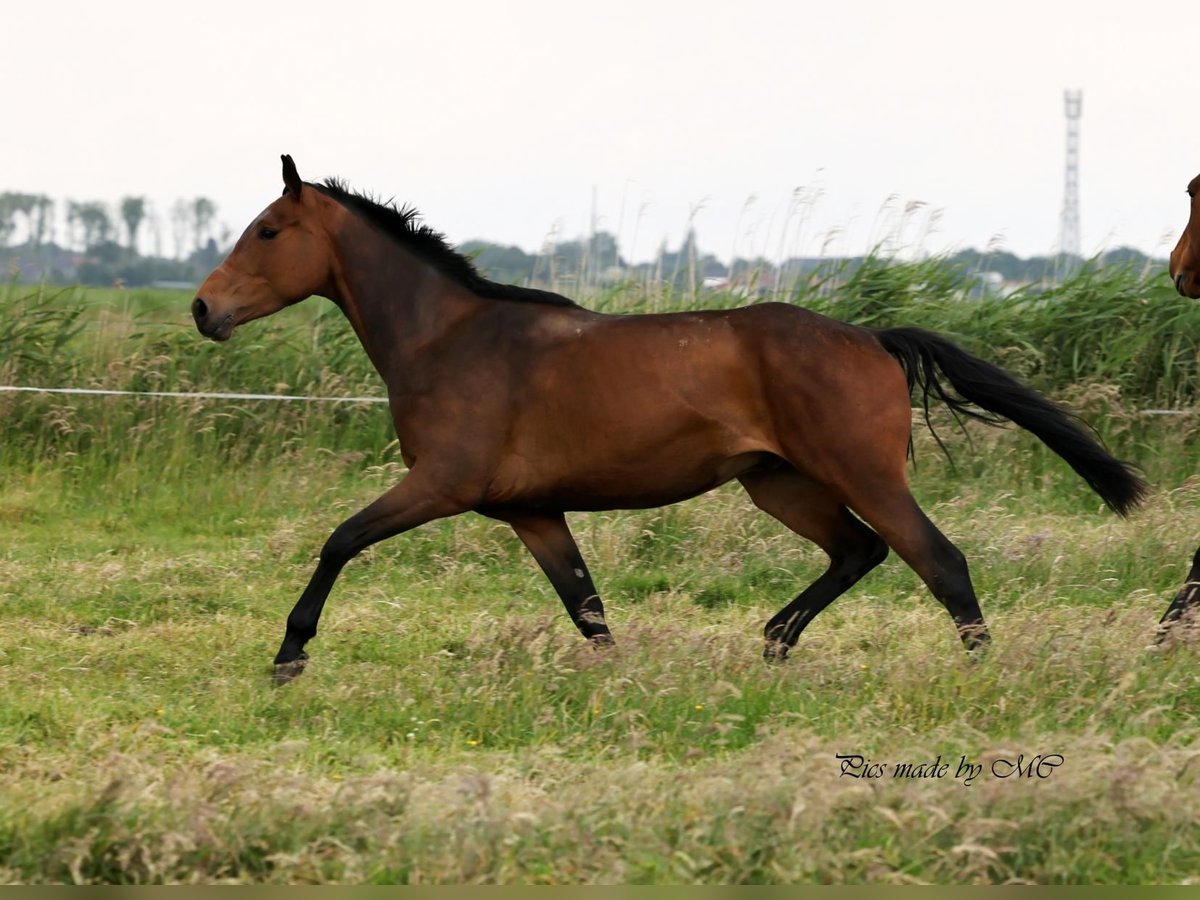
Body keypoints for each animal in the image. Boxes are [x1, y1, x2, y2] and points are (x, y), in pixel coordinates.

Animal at [192, 160, 1147, 681]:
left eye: (268, 230)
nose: (204, 309)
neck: (445, 338)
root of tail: (873, 338)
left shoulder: (441, 484)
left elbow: (339, 541)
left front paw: (289, 657)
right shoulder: (531, 511)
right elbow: (587, 607)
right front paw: (620, 684)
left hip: (862, 473)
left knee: (938, 562)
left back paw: (980, 680)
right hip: (779, 485)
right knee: (858, 552)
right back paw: (773, 641)